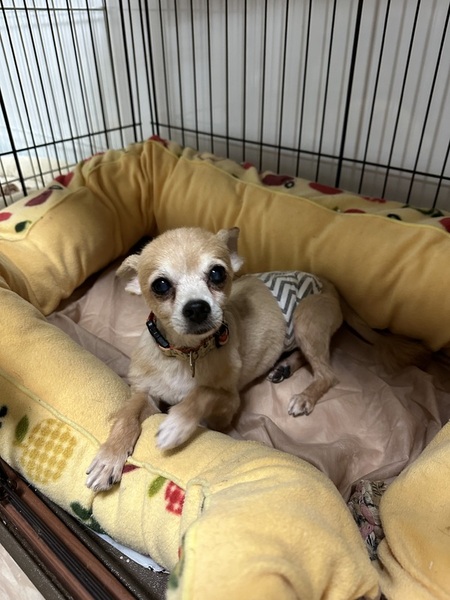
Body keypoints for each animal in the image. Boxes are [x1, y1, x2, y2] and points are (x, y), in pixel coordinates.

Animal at [86, 226, 428, 492]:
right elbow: (127, 415)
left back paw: (304, 395)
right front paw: (109, 457)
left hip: (307, 320)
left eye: (217, 273)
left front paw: (177, 424)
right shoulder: (145, 392)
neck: (187, 354)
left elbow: (202, 394)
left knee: (327, 373)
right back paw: (284, 367)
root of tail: (333, 286)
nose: (197, 308)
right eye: (160, 285)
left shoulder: (228, 406)